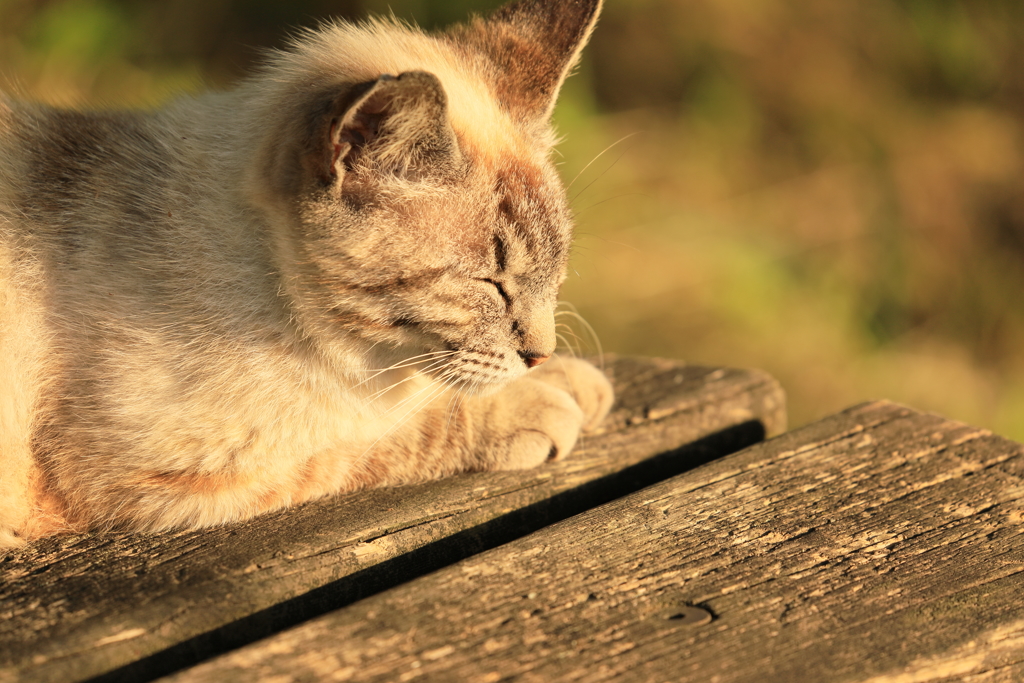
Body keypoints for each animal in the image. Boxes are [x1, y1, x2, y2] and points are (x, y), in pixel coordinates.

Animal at [0, 0, 610, 548]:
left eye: (555, 274)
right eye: (490, 284)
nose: (541, 355)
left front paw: (571, 381)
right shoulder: (175, 468)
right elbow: (391, 428)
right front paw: (537, 403)